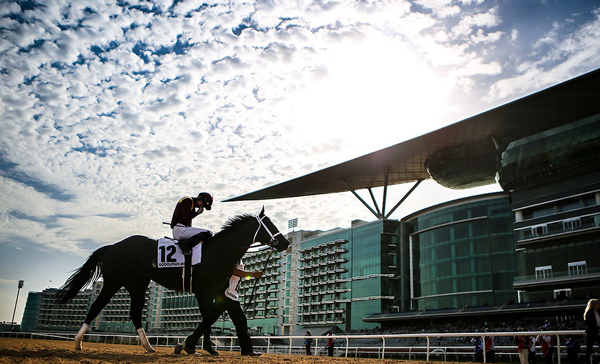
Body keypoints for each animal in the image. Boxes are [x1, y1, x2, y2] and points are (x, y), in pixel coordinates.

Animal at [55, 209, 290, 354]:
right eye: (270, 224)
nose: (286, 243)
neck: (218, 252)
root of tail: (113, 247)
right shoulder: (204, 291)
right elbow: (210, 317)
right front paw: (186, 345)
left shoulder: (211, 292)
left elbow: (210, 318)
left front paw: (203, 348)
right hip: (113, 282)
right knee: (96, 306)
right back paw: (77, 342)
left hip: (137, 285)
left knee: (135, 314)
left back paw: (149, 347)